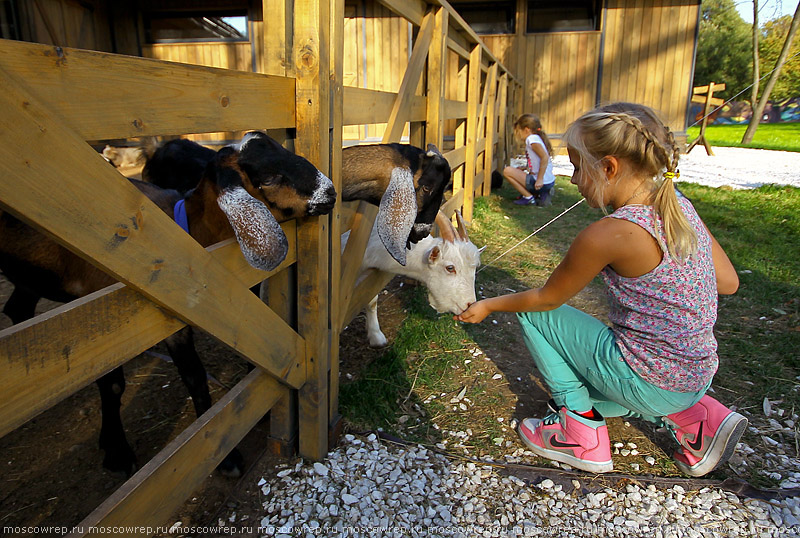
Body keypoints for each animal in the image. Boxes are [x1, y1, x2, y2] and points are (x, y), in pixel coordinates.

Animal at [0, 132, 338, 476]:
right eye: (268, 178)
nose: (330, 192)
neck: (183, 232)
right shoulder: (103, 329)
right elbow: (118, 385)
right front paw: (118, 452)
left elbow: (199, 374)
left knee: (17, 309)